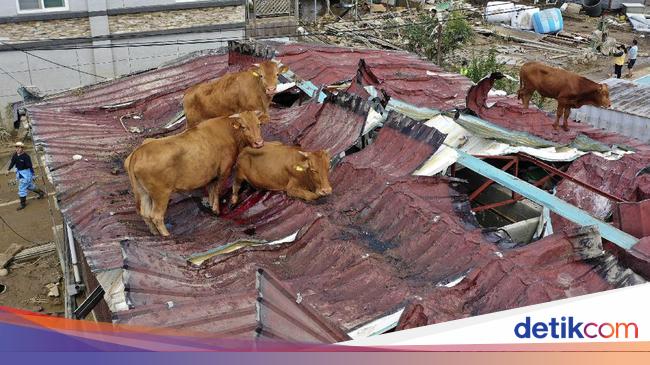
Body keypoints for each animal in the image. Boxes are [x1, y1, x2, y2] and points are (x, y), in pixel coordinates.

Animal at [124, 111, 264, 236]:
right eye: (244, 127)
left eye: (258, 124)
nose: (259, 142)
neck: (229, 133)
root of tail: (138, 152)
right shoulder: (224, 171)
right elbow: (217, 191)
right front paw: (216, 210)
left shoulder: (211, 176)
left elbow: (212, 190)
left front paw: (211, 207)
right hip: (161, 194)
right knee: (156, 216)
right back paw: (166, 235)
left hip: (143, 192)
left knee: (145, 213)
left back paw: (154, 233)